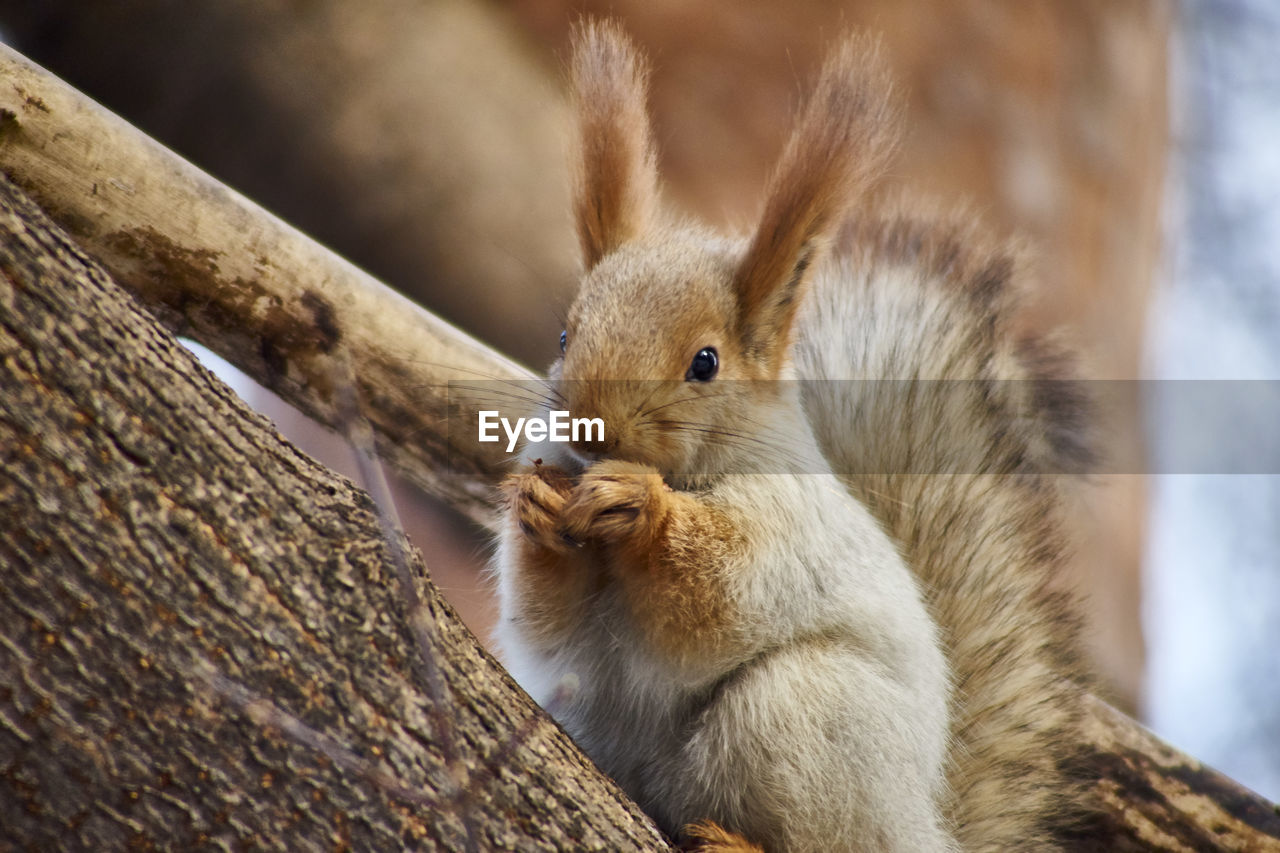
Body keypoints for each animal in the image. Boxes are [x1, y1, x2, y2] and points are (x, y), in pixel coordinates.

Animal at [494, 19, 1095, 850]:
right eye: (563, 334)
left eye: (705, 362)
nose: (595, 424)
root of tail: (924, 824)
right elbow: (542, 616)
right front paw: (537, 507)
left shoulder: (786, 525)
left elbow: (714, 591)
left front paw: (641, 506)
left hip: (799, 711)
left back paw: (734, 839)